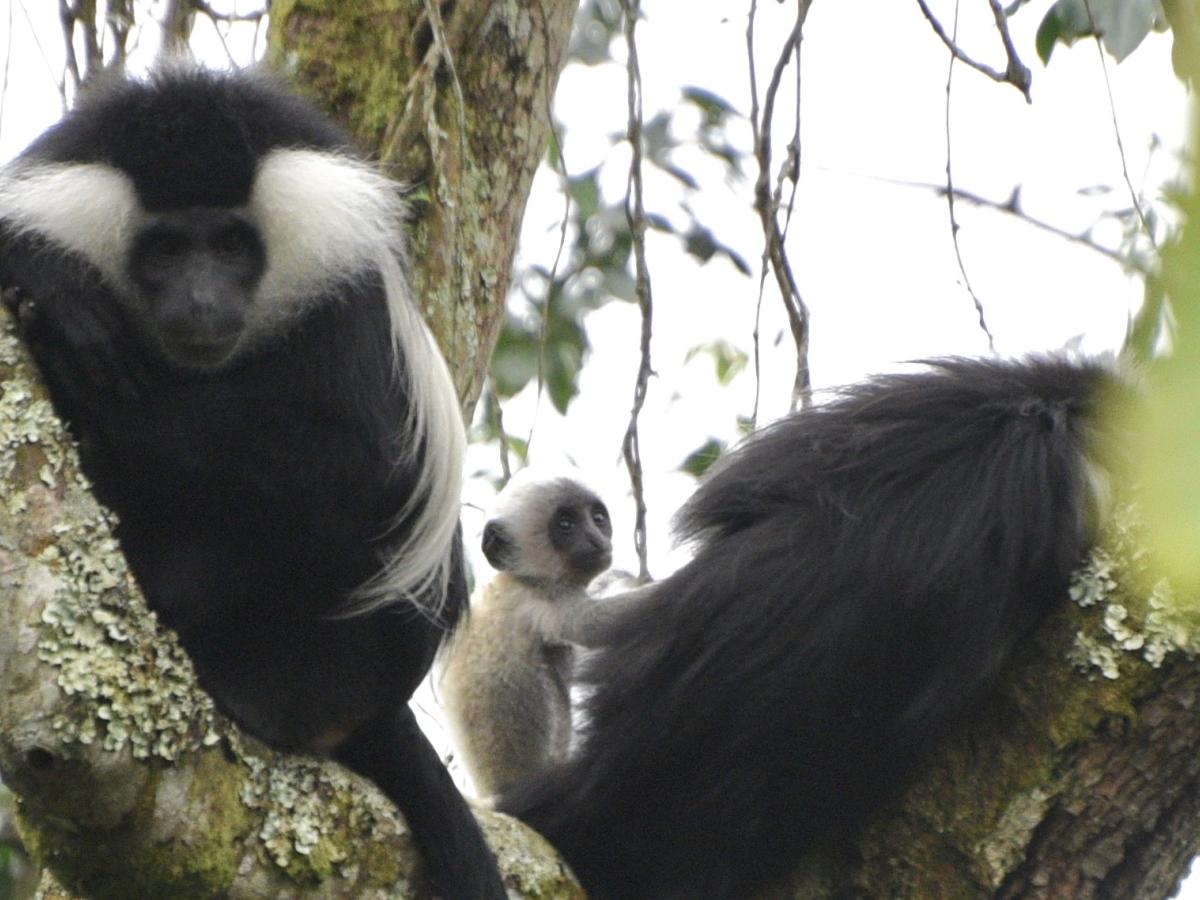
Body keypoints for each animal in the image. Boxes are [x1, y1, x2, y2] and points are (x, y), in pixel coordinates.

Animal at [0, 70, 506, 900]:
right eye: (167, 249)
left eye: (232, 245)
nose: (202, 301)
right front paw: (53, 279)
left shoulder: (347, 311)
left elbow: (355, 466)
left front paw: (74, 341)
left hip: (343, 657)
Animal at [436, 475, 614, 801]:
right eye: (566, 525)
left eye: (598, 519)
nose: (598, 539)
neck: (517, 579)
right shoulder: (548, 599)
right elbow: (595, 623)